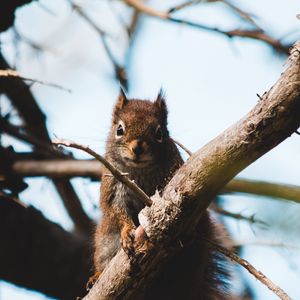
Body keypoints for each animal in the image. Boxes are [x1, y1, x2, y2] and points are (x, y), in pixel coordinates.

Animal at [94, 89, 230, 300]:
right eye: (119, 129)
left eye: (159, 133)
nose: (138, 148)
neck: (140, 170)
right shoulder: (113, 185)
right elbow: (115, 209)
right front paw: (126, 232)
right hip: (105, 240)